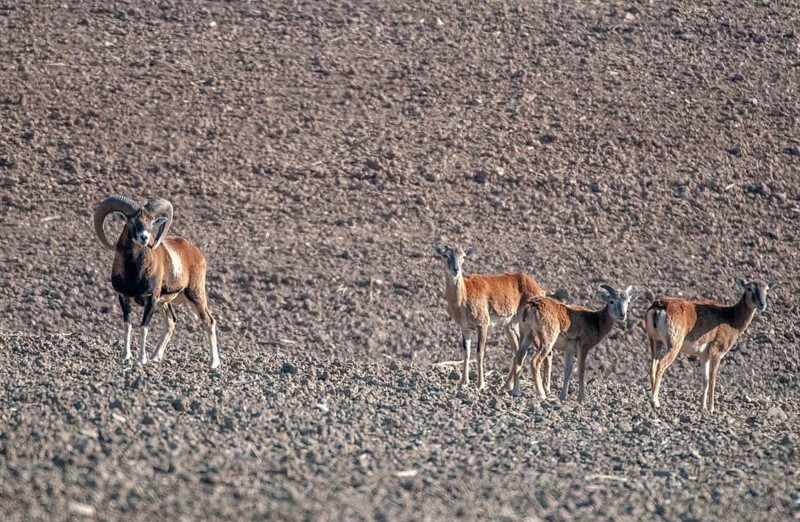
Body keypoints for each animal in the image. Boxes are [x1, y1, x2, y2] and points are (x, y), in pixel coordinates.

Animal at [93, 195, 220, 369]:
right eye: (132, 222)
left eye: (151, 222)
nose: (144, 238)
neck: (134, 273)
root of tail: (196, 252)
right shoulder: (123, 298)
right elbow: (128, 326)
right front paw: (125, 357)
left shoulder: (151, 300)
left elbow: (143, 328)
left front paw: (141, 359)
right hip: (165, 303)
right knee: (171, 322)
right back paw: (155, 357)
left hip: (195, 296)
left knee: (208, 321)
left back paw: (213, 363)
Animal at [433, 244, 548, 390]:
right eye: (445, 255)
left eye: (463, 256)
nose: (456, 269)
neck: (463, 297)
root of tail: (540, 290)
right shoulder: (465, 329)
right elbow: (466, 353)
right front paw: (463, 383)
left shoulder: (482, 325)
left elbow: (480, 352)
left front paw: (480, 385)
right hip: (510, 326)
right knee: (519, 351)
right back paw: (506, 386)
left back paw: (546, 388)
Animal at [504, 285, 635, 402]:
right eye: (611, 301)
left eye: (628, 302)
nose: (622, 315)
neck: (595, 320)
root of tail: (531, 305)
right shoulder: (583, 347)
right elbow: (581, 370)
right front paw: (581, 398)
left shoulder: (569, 351)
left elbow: (568, 371)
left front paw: (562, 397)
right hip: (547, 342)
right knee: (535, 362)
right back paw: (542, 395)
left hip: (527, 335)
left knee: (519, 358)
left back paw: (516, 392)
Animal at [645, 278, 776, 413]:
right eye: (749, 288)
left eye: (767, 289)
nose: (762, 304)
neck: (732, 319)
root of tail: (658, 307)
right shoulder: (717, 352)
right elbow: (713, 380)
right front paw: (711, 409)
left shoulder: (704, 356)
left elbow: (705, 380)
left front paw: (702, 407)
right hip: (673, 344)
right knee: (661, 364)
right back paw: (655, 402)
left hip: (655, 341)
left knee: (653, 366)